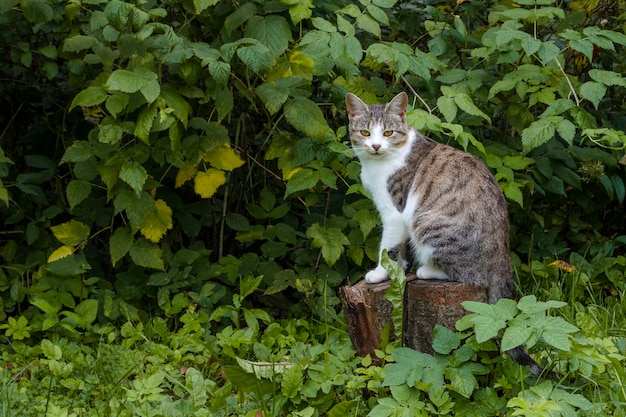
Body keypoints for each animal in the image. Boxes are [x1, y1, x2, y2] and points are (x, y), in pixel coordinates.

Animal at [344, 92, 544, 376]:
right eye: (364, 132)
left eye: (388, 132)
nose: (375, 146)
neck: (380, 163)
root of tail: (503, 257)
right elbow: (400, 250)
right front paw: (399, 269)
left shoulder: (395, 213)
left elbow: (388, 248)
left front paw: (380, 273)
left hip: (426, 223)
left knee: (470, 275)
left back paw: (427, 270)